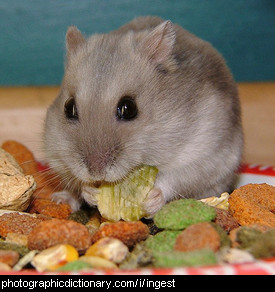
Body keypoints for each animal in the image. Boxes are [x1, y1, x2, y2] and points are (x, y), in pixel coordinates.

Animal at [43, 16, 244, 217]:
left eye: (128, 108)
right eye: (69, 107)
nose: (95, 173)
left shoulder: (201, 154)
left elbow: (172, 179)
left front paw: (150, 200)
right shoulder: (56, 155)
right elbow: (77, 181)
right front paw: (90, 191)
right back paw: (61, 199)